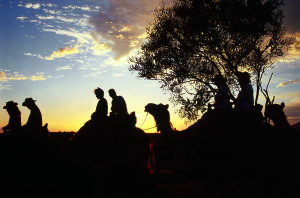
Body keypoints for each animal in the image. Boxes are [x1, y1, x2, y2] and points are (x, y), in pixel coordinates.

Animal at [145, 103, 282, 197]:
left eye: (158, 107)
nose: (147, 106)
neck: (192, 135)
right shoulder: (211, 157)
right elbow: (215, 179)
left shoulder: (208, 156)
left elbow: (212, 180)